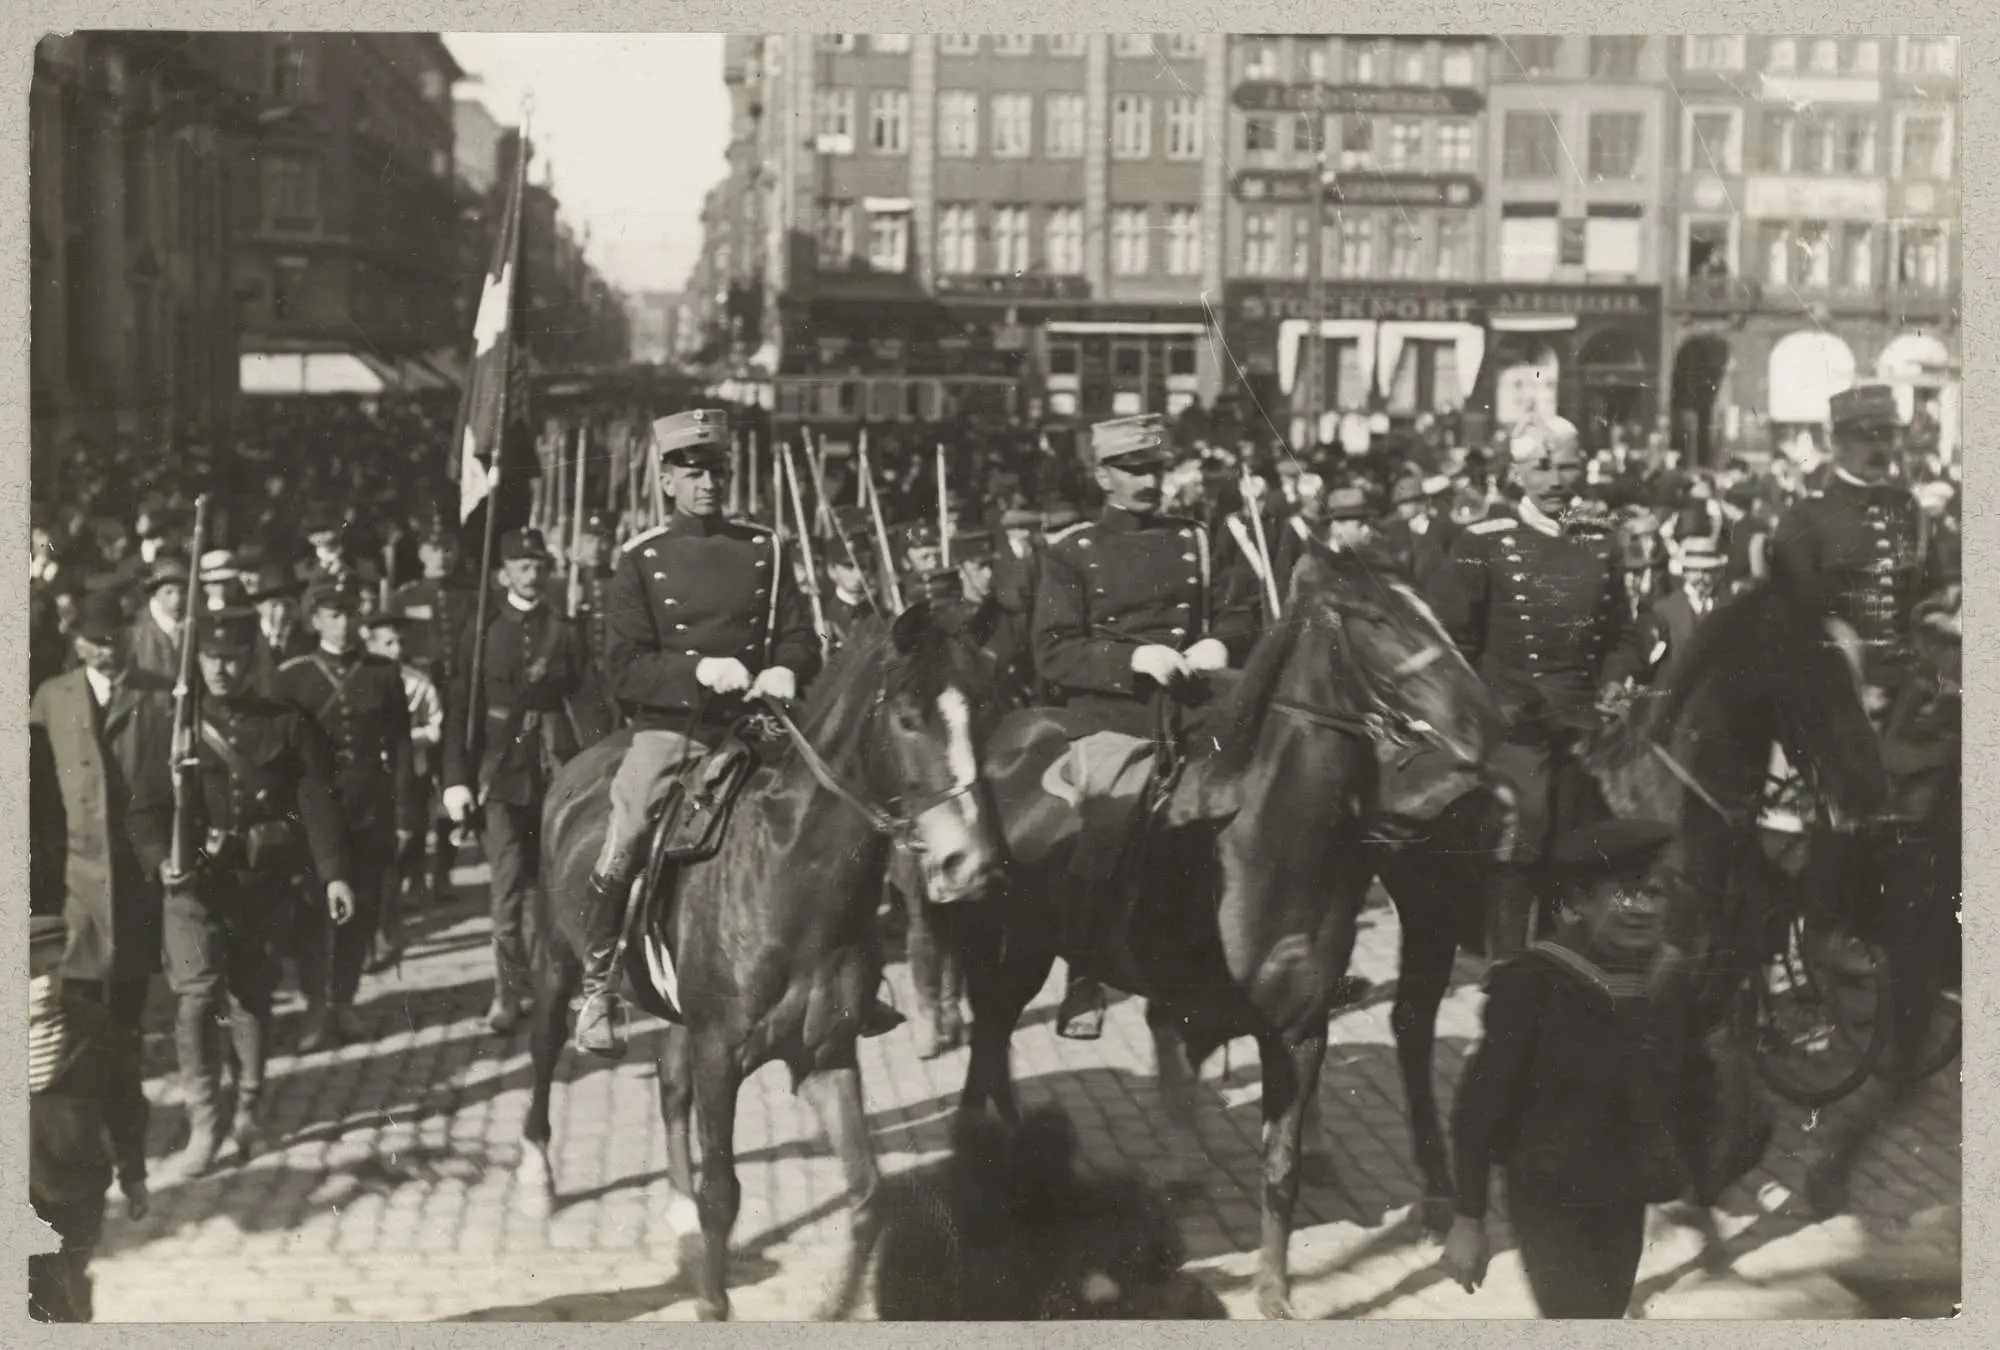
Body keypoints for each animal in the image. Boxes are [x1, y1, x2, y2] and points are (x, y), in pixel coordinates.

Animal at [518, 600, 1011, 1321]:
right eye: (908, 717)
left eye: (985, 708)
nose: (971, 863)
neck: (787, 877)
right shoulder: (721, 1053)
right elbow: (724, 1192)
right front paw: (712, 1303)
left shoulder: (825, 1056)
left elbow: (868, 1193)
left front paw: (836, 1305)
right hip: (557, 963)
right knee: (546, 1046)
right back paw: (537, 1174)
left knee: (668, 1084)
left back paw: (675, 1204)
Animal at [943, 545, 1501, 1318]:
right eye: (1375, 618)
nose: (1482, 720)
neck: (1263, 840)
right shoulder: (1197, 1001)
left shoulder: (1299, 1028)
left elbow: (1280, 1162)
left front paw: (1275, 1289)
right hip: (1012, 956)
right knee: (987, 1046)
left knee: (996, 1050)